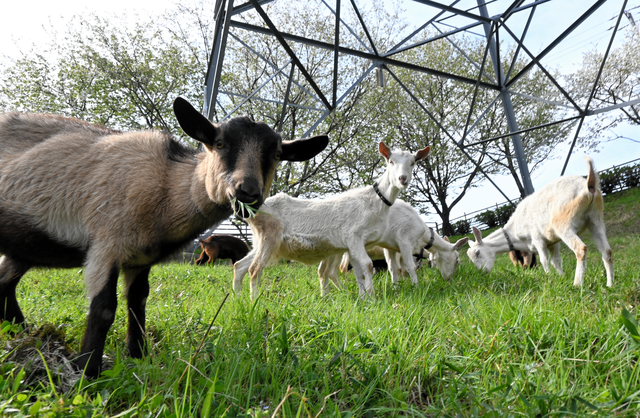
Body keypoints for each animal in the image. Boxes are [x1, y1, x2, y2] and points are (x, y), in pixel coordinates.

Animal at [0, 99, 328, 378]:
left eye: (276, 155)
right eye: (219, 143)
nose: (247, 192)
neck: (167, 187)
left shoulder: (139, 259)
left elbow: (138, 303)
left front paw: (139, 356)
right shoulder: (106, 243)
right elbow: (104, 309)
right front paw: (87, 372)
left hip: (25, 246)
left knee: (5, 283)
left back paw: (21, 331)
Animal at [232, 142, 428, 298]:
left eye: (413, 163)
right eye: (391, 161)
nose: (402, 179)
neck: (375, 201)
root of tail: (252, 209)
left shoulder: (354, 245)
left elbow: (358, 271)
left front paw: (363, 297)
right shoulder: (354, 236)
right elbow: (367, 265)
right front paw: (372, 297)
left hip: (262, 241)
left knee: (239, 265)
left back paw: (238, 298)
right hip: (269, 236)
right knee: (254, 269)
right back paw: (254, 301)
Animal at [320, 199, 470, 288]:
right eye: (457, 260)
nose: (449, 279)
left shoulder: (390, 247)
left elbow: (393, 268)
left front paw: (396, 287)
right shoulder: (404, 242)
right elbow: (409, 267)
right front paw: (416, 286)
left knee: (325, 271)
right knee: (338, 269)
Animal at [468, 157, 612, 288]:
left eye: (477, 253)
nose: (484, 272)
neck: (514, 232)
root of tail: (589, 185)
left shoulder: (538, 239)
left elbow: (544, 260)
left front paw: (549, 277)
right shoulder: (553, 242)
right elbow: (556, 261)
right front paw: (561, 277)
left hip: (564, 224)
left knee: (581, 249)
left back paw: (577, 284)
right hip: (595, 219)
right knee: (607, 251)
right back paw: (610, 285)